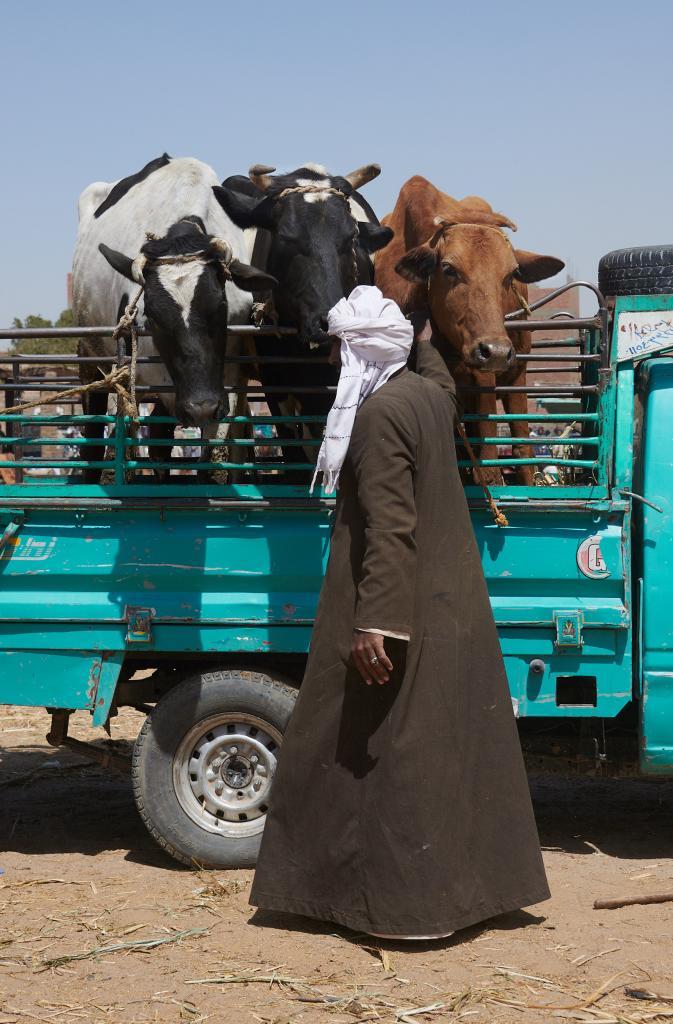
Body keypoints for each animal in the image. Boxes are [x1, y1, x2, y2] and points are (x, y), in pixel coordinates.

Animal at [72, 154, 274, 479]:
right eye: (152, 315)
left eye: (221, 305)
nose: (199, 407)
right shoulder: (126, 384)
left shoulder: (225, 389)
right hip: (89, 358)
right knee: (93, 440)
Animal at [374, 176, 565, 483]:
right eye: (449, 269)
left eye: (511, 274)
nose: (495, 351)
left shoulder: (484, 379)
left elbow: (489, 467)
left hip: (516, 375)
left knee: (522, 450)